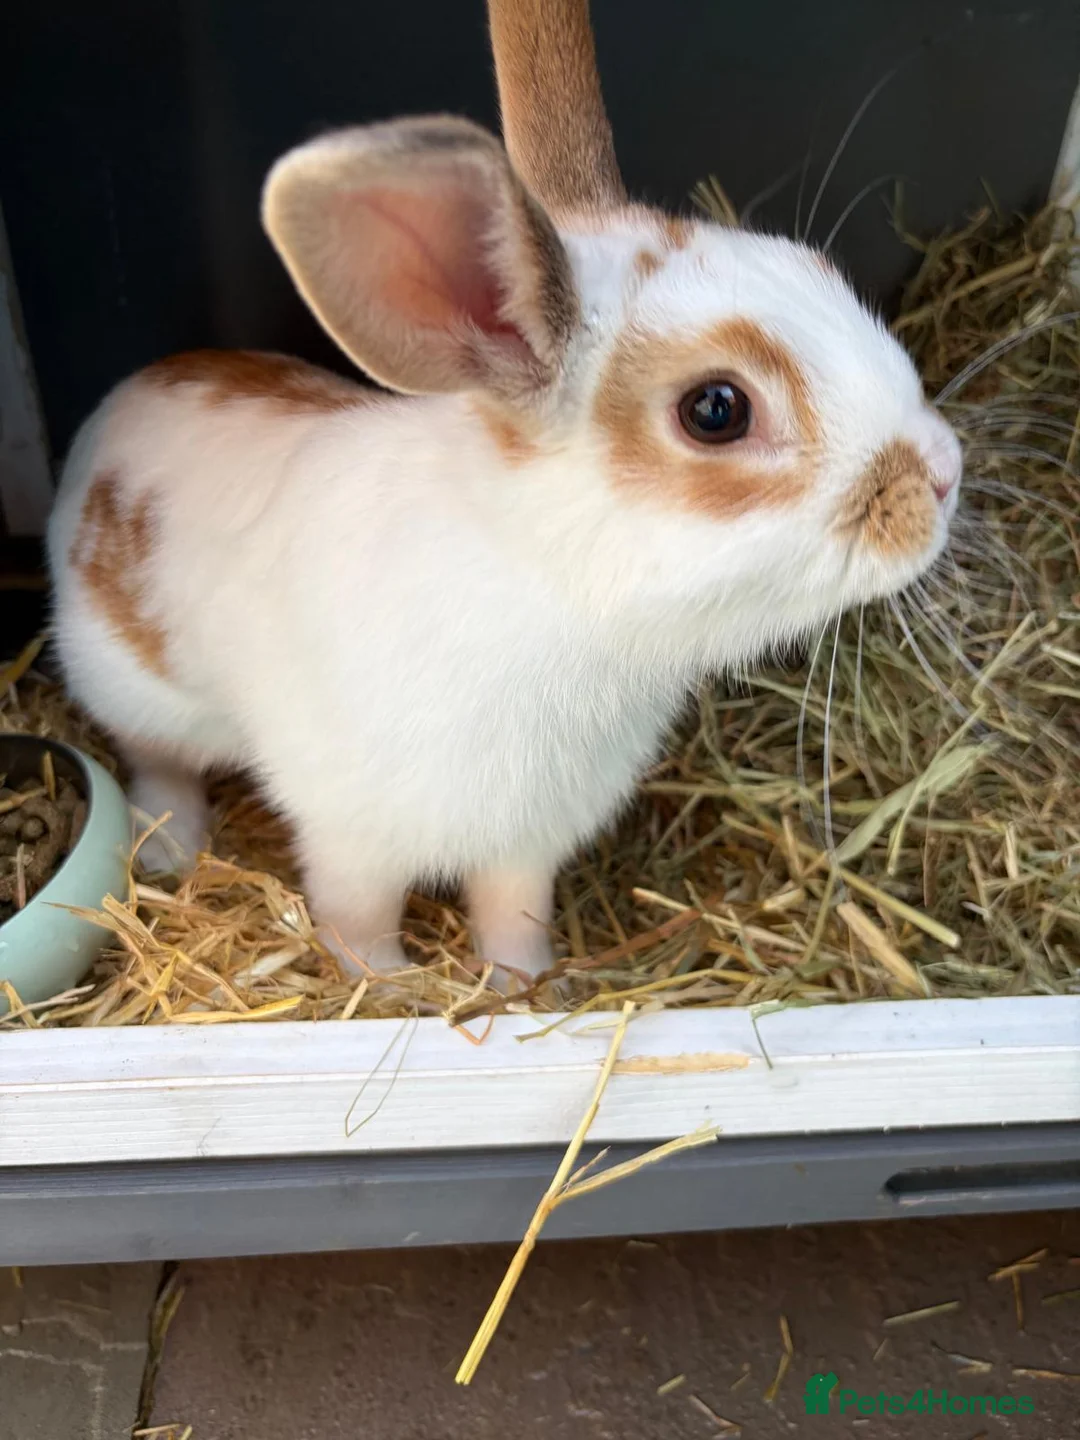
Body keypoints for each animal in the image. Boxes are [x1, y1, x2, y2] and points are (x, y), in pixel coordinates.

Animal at [46, 0, 962, 988]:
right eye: (716, 410)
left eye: (810, 266)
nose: (944, 473)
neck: (550, 593)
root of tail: (115, 411)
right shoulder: (353, 834)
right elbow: (356, 918)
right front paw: (390, 986)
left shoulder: (529, 843)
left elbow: (514, 914)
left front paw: (527, 985)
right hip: (131, 688)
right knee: (159, 766)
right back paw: (169, 846)